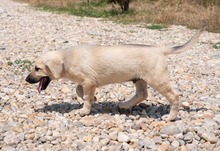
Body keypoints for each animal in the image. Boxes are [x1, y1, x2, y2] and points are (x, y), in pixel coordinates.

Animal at [26, 25, 206, 121]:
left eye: (37, 68)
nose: (27, 80)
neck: (67, 59)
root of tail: (160, 49)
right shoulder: (87, 81)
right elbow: (79, 90)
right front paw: (89, 99)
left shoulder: (89, 81)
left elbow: (85, 96)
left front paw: (84, 110)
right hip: (139, 79)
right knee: (142, 94)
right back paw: (125, 105)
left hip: (157, 79)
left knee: (174, 96)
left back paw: (171, 117)